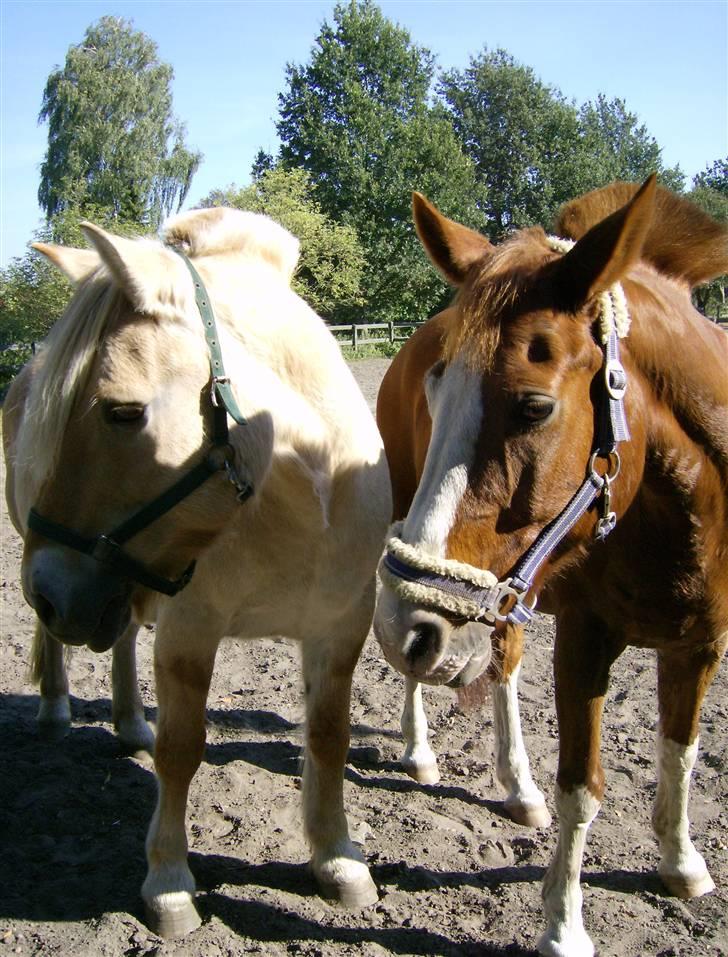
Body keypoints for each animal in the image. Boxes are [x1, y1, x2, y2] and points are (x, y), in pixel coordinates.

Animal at [5, 207, 392, 932]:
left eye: (122, 413)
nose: (50, 588)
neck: (301, 490)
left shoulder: (342, 624)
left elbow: (329, 737)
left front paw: (338, 860)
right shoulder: (190, 628)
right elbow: (181, 750)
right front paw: (168, 883)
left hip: (121, 585)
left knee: (122, 637)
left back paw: (129, 722)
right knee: (56, 643)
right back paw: (54, 708)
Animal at [376, 176, 728, 952]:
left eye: (534, 407)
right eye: (436, 394)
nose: (409, 623)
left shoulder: (702, 644)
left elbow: (682, 751)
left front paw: (681, 861)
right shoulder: (585, 640)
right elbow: (582, 788)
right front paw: (564, 926)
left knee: (503, 662)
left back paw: (517, 784)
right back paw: (421, 748)